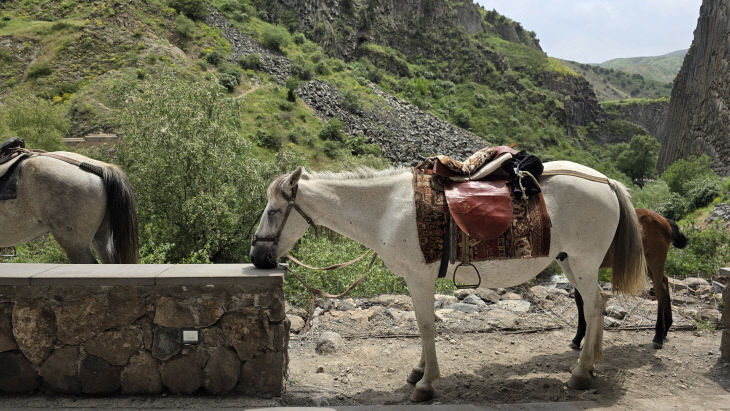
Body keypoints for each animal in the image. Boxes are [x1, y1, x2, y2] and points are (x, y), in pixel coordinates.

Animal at [250, 161, 644, 402]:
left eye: (273, 211)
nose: (257, 257)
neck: (388, 209)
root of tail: (605, 182)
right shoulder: (415, 280)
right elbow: (421, 325)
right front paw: (419, 371)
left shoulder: (419, 277)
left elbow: (426, 326)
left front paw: (426, 384)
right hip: (573, 263)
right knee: (598, 304)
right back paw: (591, 363)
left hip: (583, 262)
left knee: (592, 307)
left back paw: (580, 374)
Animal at [572, 211, 684, 350]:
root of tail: (664, 220)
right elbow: (579, 300)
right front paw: (578, 338)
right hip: (647, 264)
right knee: (664, 281)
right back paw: (665, 329)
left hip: (655, 260)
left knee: (660, 291)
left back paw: (658, 336)